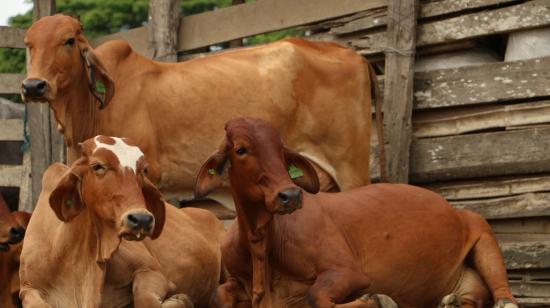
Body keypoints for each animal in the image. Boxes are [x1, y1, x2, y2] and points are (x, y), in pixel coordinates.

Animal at [20, 136, 224, 306]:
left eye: (144, 170)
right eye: (97, 166)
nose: (141, 219)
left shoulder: (152, 271)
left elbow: (145, 299)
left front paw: (178, 300)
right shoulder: (27, 288)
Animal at [195, 117, 520, 308]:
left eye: (281, 149)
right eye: (240, 149)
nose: (290, 195)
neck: (261, 243)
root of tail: (453, 211)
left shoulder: (348, 272)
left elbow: (318, 296)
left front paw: (377, 299)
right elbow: (220, 295)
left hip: (480, 229)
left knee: (502, 294)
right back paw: (450, 302)